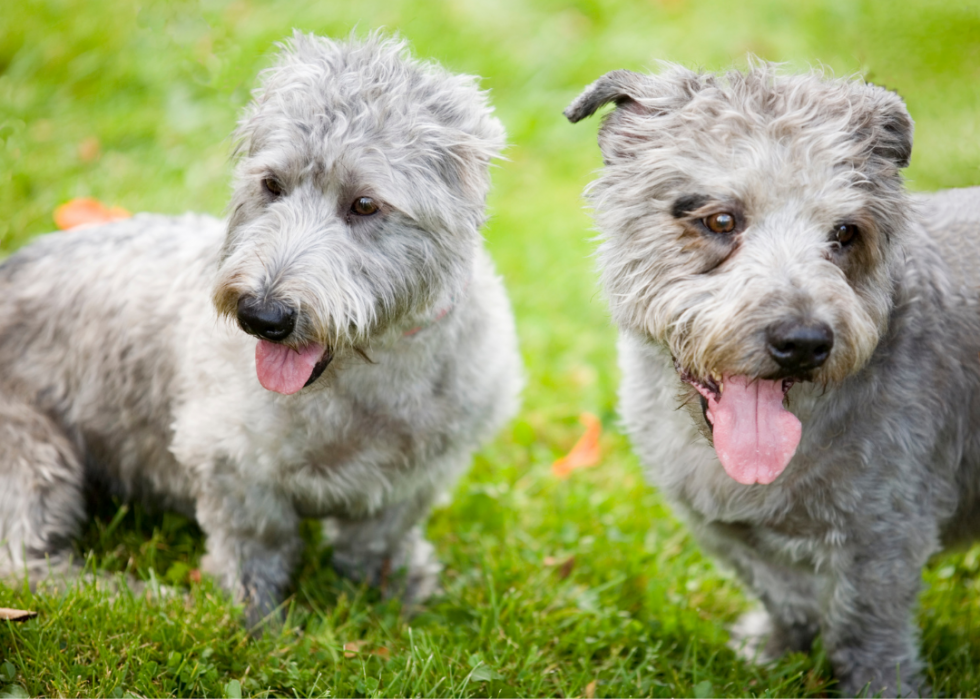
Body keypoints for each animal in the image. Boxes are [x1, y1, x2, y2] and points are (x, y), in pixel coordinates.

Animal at [564, 63, 980, 696]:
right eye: (720, 220)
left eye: (845, 232)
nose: (804, 342)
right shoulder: (726, 529)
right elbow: (785, 595)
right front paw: (775, 651)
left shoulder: (885, 539)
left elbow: (866, 628)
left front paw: (880, 686)